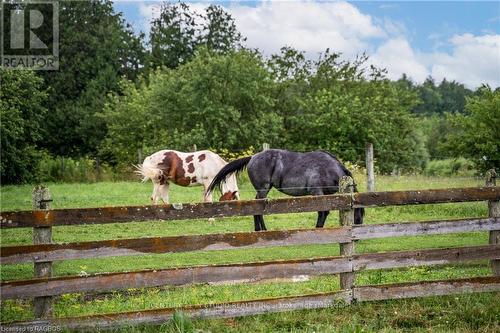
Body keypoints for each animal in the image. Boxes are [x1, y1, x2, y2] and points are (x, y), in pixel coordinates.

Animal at [205, 148, 366, 230]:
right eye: (358, 217)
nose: (359, 235)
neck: (328, 168)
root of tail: (252, 157)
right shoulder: (317, 192)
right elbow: (323, 212)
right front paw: (318, 228)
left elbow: (324, 212)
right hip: (263, 189)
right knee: (257, 207)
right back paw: (262, 230)